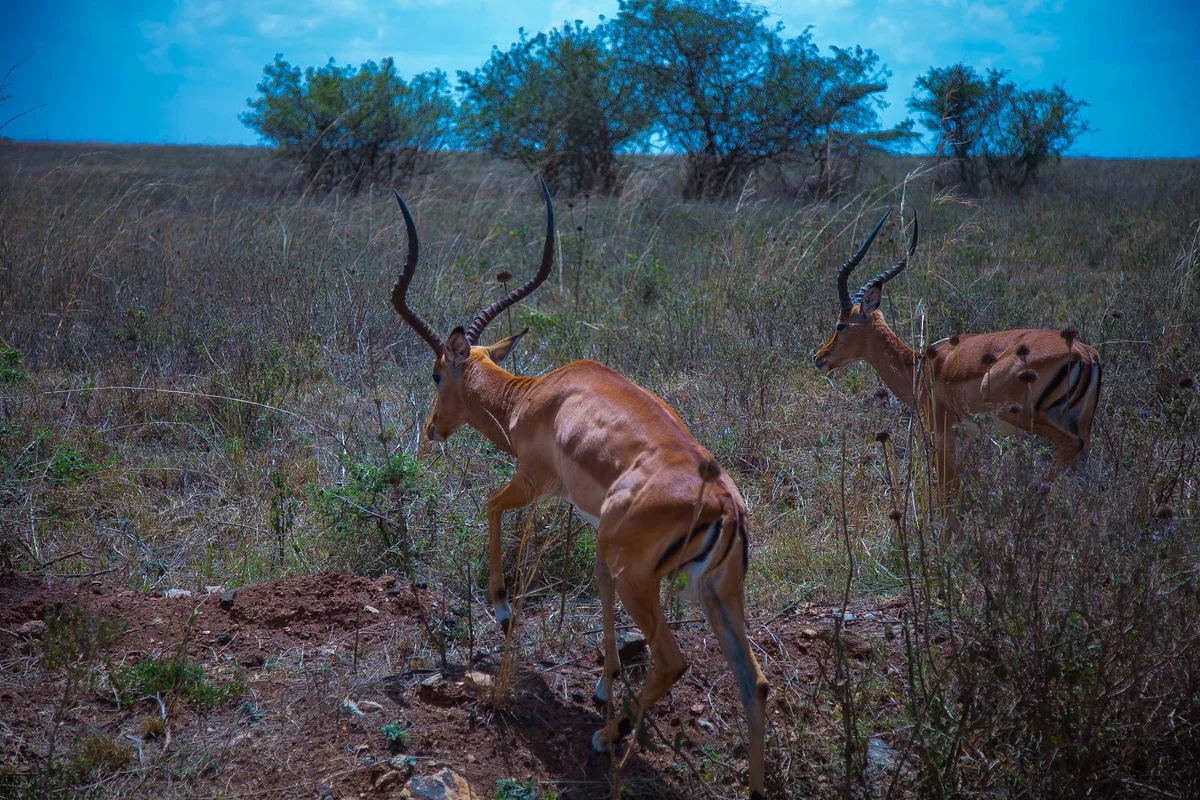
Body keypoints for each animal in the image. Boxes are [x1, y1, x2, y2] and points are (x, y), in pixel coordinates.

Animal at [388, 181, 768, 799]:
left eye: (436, 374)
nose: (432, 428)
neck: (535, 396)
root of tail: (723, 503)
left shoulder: (535, 482)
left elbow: (491, 507)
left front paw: (502, 609)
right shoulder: (596, 533)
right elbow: (598, 589)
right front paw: (601, 684)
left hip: (644, 577)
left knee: (673, 660)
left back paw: (606, 736)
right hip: (715, 591)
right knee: (753, 683)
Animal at [813, 210, 1102, 540]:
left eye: (840, 324)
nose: (819, 357)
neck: (920, 367)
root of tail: (1084, 353)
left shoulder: (943, 432)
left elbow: (945, 493)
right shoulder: (964, 437)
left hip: (1026, 416)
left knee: (1068, 447)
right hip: (1081, 426)